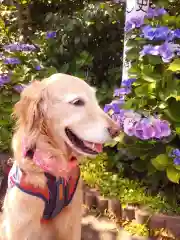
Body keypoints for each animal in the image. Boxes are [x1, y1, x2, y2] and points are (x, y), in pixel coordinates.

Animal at [0, 73, 119, 240]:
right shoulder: (22, 225)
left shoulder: (72, 220)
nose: (117, 130)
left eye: (95, 100)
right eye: (77, 102)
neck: (54, 170)